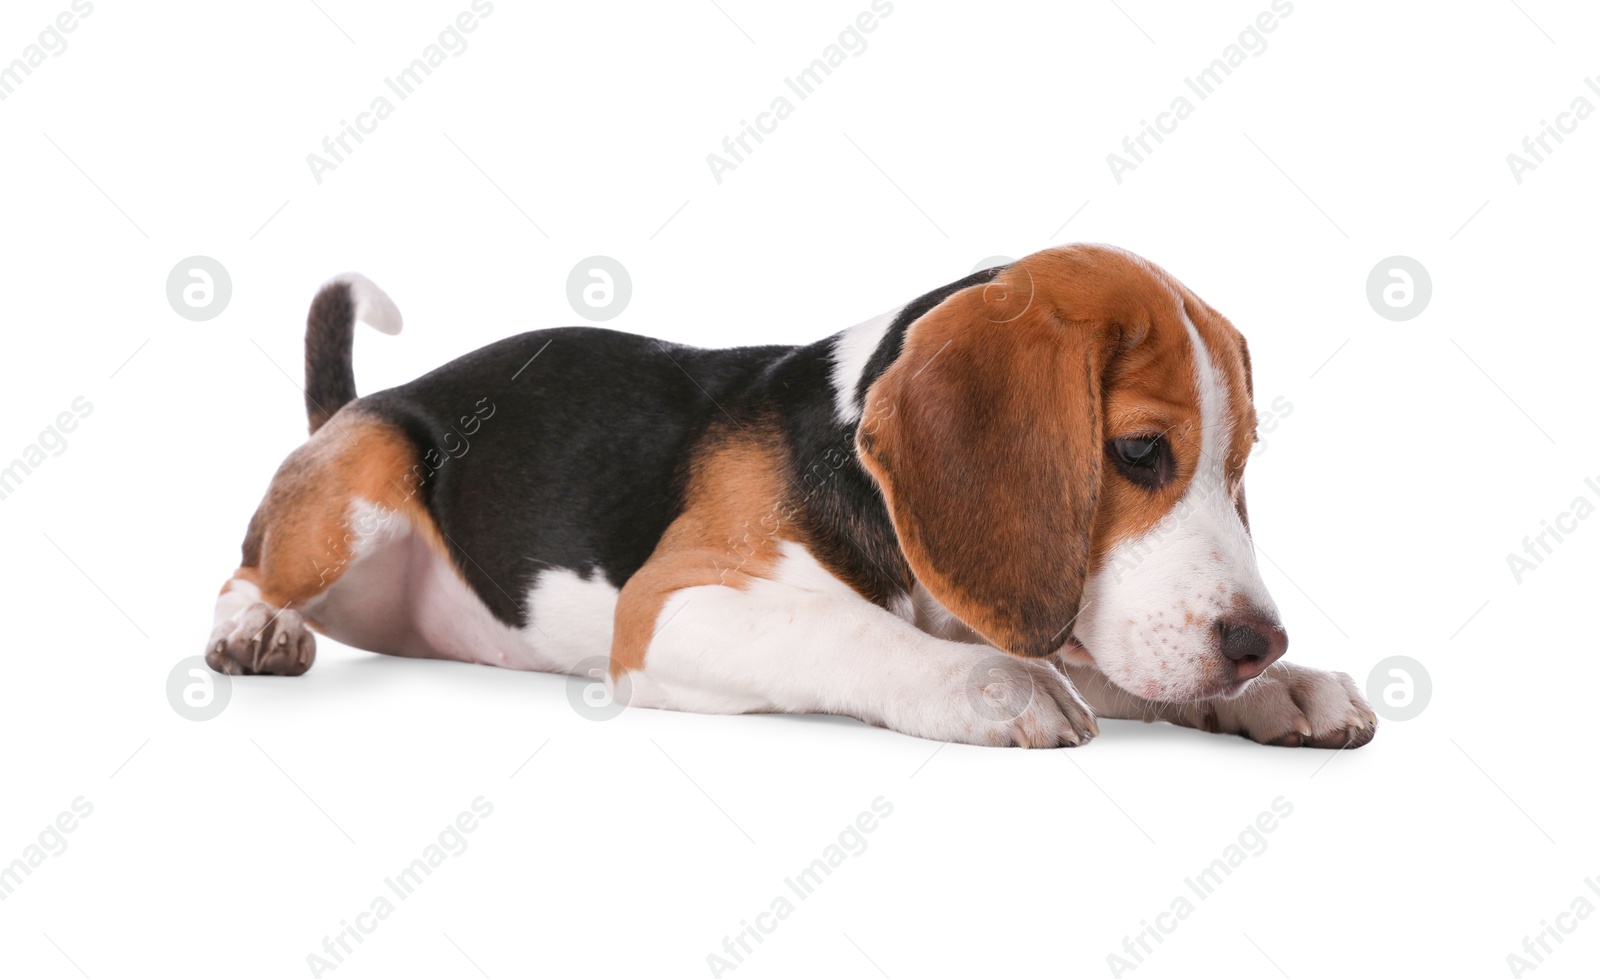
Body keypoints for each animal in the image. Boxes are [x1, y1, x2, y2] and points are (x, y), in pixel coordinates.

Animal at [209, 246, 1376, 748]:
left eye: (1239, 470)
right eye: (1138, 451)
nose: (1258, 642)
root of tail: (363, 403)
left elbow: (1106, 661)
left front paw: (1283, 689)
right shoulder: (673, 604)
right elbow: (857, 634)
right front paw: (988, 685)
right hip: (365, 471)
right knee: (248, 564)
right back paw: (256, 627)